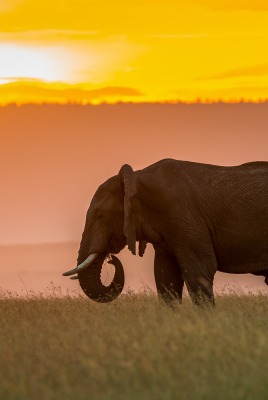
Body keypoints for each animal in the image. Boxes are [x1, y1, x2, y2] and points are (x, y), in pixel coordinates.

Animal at [63, 159, 268, 306]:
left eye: (100, 215)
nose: (111, 260)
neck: (136, 177)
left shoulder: (184, 216)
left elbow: (200, 272)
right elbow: (165, 277)